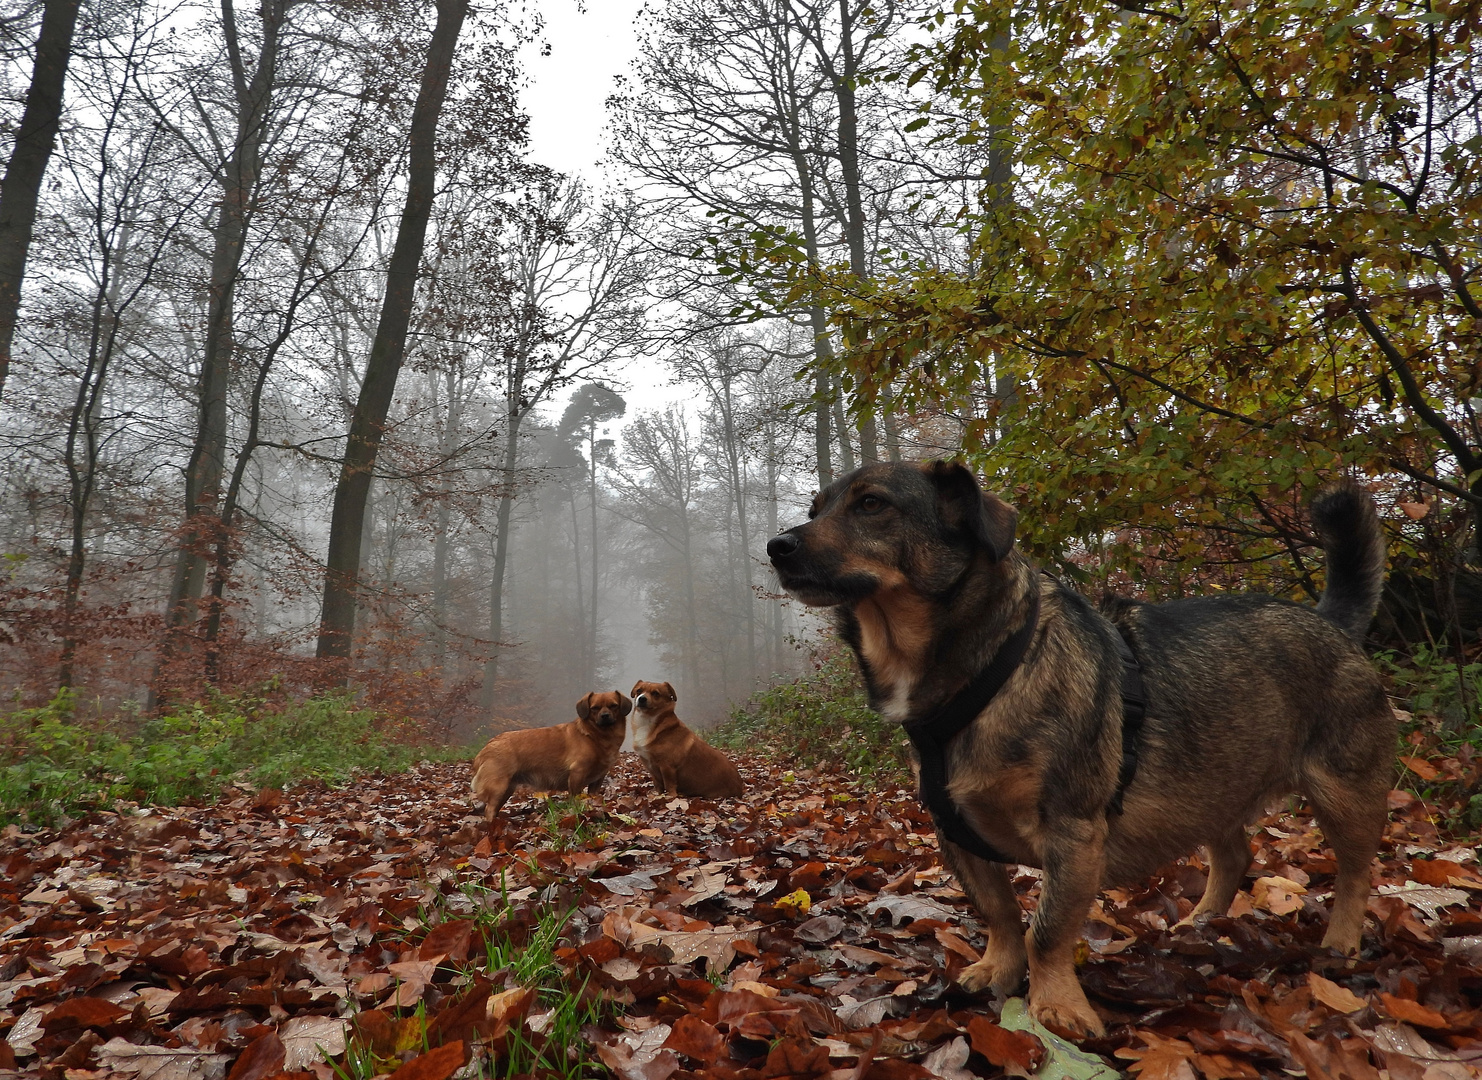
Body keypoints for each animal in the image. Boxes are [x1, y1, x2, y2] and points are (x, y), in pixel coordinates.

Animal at [471, 687, 628, 823]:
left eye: (613, 706)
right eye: (595, 708)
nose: (605, 716)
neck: (596, 736)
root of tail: (488, 745)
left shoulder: (597, 780)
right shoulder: (577, 774)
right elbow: (575, 799)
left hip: (507, 789)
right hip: (499, 787)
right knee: (489, 809)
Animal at [770, 462, 1393, 1037]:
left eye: (872, 504)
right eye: (816, 507)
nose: (777, 547)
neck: (991, 670)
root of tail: (1331, 623)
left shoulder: (1072, 832)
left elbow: (1046, 931)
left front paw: (1056, 1005)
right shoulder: (958, 835)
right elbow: (1001, 914)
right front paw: (997, 970)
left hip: (1345, 792)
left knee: (1356, 873)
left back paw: (1340, 943)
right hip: (1213, 784)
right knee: (1235, 856)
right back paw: (1200, 921)